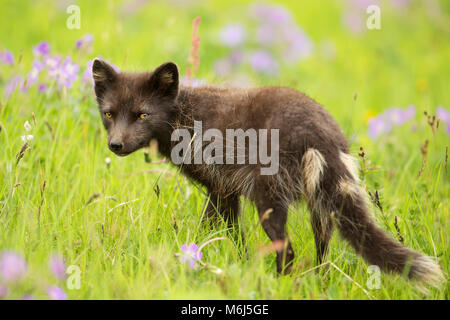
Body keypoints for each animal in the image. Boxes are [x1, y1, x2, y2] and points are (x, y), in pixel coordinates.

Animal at [91, 60, 442, 288]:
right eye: (109, 114)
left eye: (143, 115)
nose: (115, 145)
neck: (185, 116)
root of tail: (320, 132)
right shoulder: (224, 189)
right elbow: (223, 231)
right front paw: (222, 261)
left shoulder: (221, 185)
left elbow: (224, 229)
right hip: (322, 202)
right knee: (323, 250)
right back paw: (318, 282)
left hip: (270, 200)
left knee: (288, 249)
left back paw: (280, 283)